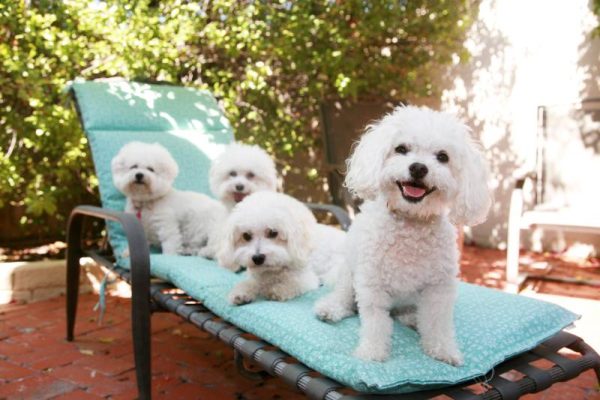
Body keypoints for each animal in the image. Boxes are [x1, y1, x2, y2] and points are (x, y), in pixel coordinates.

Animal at [314, 105, 492, 366]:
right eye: (401, 149)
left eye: (442, 157)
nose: (418, 167)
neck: (410, 223)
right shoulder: (372, 285)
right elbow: (375, 324)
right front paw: (372, 353)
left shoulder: (438, 288)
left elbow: (438, 323)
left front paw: (442, 349)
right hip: (349, 273)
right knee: (344, 297)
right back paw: (330, 308)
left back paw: (411, 318)